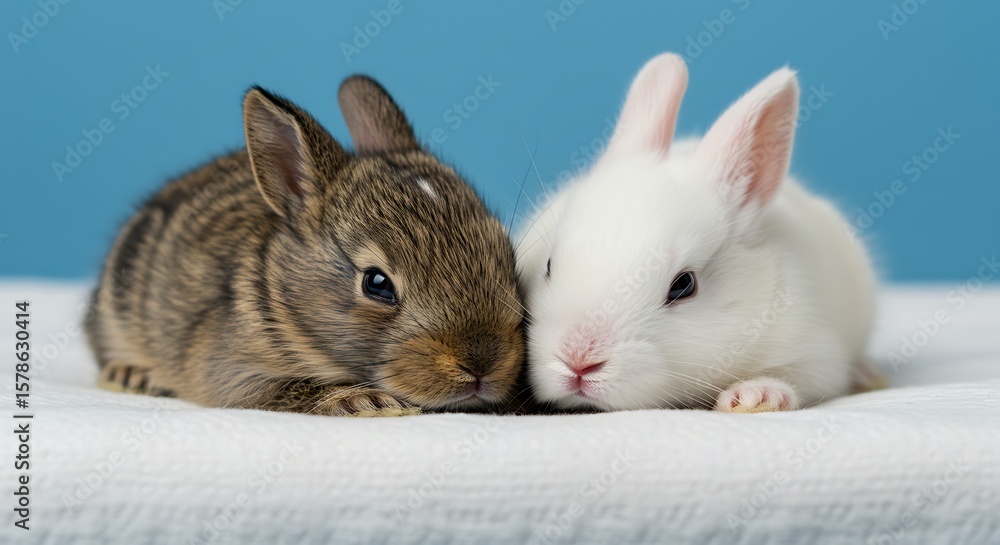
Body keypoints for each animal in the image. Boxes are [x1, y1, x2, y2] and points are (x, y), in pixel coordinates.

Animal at [85, 75, 526, 417]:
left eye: (506, 254)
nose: (482, 364)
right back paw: (131, 375)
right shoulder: (233, 371)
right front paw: (368, 403)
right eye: (377, 283)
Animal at [515, 53, 880, 413]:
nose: (578, 362)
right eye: (549, 265)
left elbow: (799, 377)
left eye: (684, 285)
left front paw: (755, 396)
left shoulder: (815, 352)